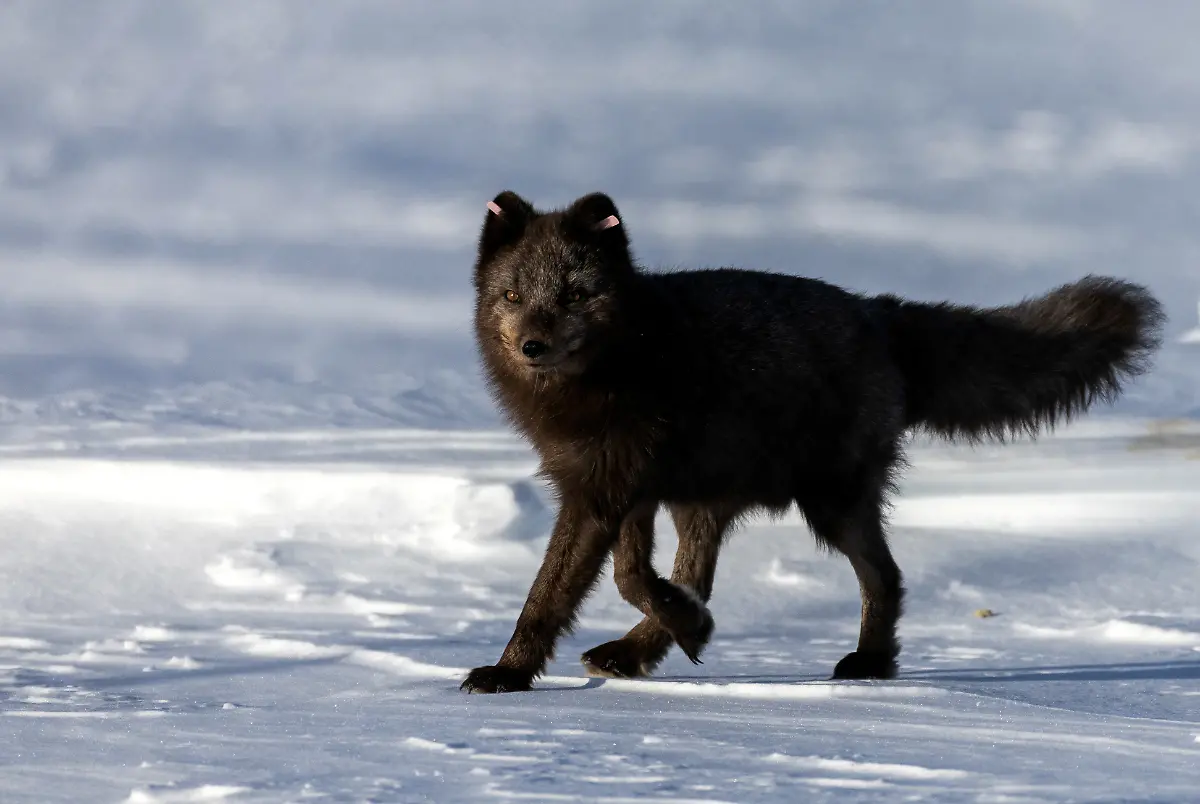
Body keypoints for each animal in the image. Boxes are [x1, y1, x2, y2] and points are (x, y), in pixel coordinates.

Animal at [460, 189, 1165, 694]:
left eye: (574, 294)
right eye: (512, 294)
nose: (532, 345)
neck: (624, 362)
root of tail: (878, 311)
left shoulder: (607, 491)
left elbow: (557, 592)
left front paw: (508, 675)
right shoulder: (616, 486)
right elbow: (630, 575)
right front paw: (682, 624)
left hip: (829, 501)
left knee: (886, 575)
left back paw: (869, 663)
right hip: (710, 498)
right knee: (701, 575)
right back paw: (647, 648)